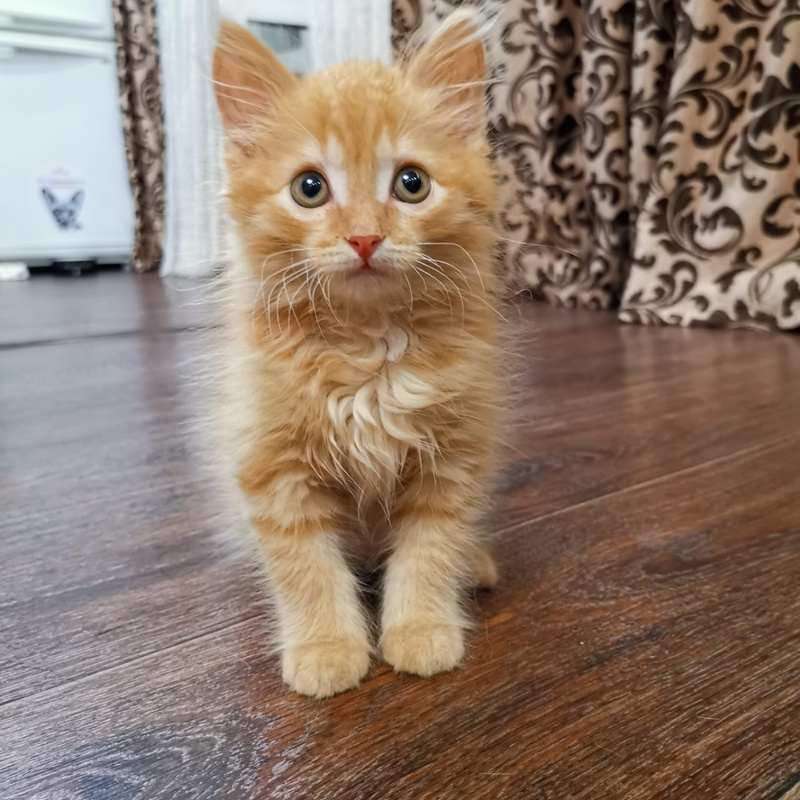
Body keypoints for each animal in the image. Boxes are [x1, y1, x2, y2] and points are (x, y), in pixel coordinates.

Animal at [212, 10, 502, 698]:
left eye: (411, 184)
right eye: (309, 188)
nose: (365, 237)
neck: (368, 350)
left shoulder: (453, 460)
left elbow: (430, 551)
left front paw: (422, 629)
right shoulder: (273, 467)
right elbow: (305, 568)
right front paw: (326, 648)